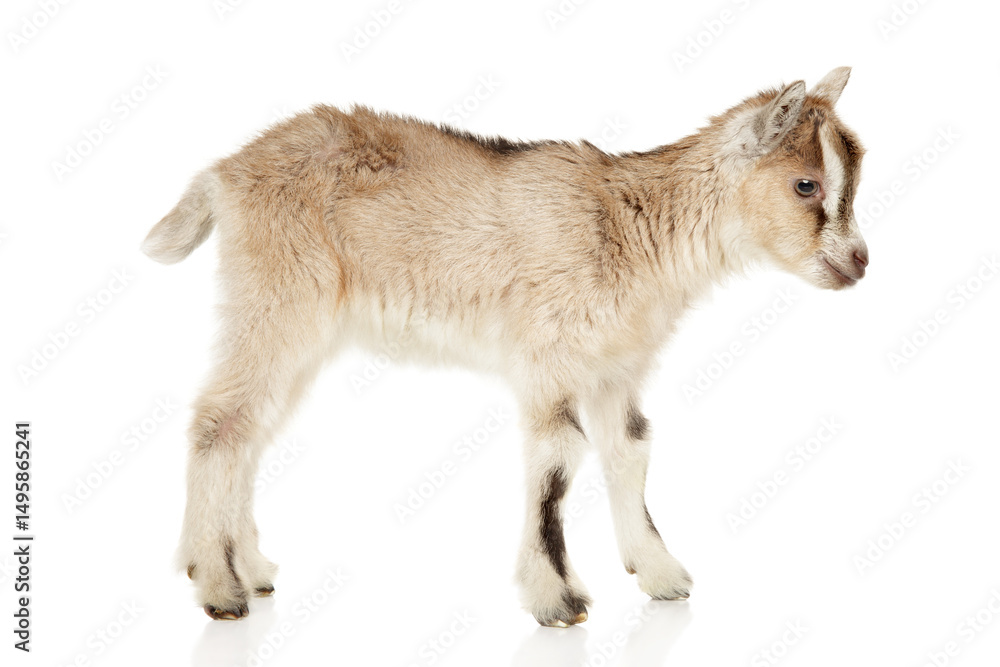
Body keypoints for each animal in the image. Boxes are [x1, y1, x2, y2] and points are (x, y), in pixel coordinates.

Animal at [143, 67, 867, 626]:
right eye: (806, 184)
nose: (859, 262)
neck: (634, 225)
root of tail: (224, 174)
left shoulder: (614, 367)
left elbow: (630, 449)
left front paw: (661, 575)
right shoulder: (548, 357)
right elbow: (557, 462)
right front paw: (558, 600)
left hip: (298, 329)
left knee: (250, 432)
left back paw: (249, 567)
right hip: (276, 300)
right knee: (219, 422)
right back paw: (218, 587)